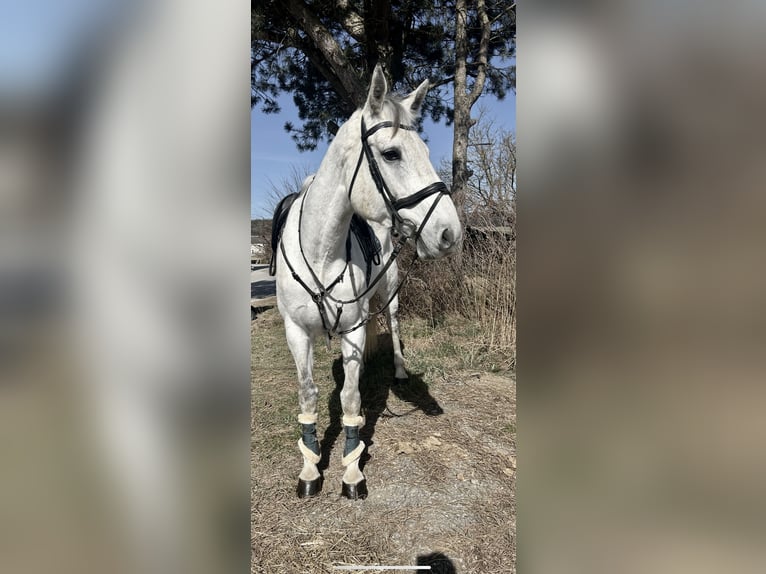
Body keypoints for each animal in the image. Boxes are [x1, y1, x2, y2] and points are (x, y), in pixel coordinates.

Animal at [274, 65, 462, 502]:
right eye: (391, 154)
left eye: (426, 151)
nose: (450, 233)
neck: (322, 250)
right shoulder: (296, 332)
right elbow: (308, 394)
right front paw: (310, 467)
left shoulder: (354, 329)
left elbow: (350, 398)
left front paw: (351, 470)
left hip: (388, 294)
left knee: (391, 323)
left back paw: (399, 369)